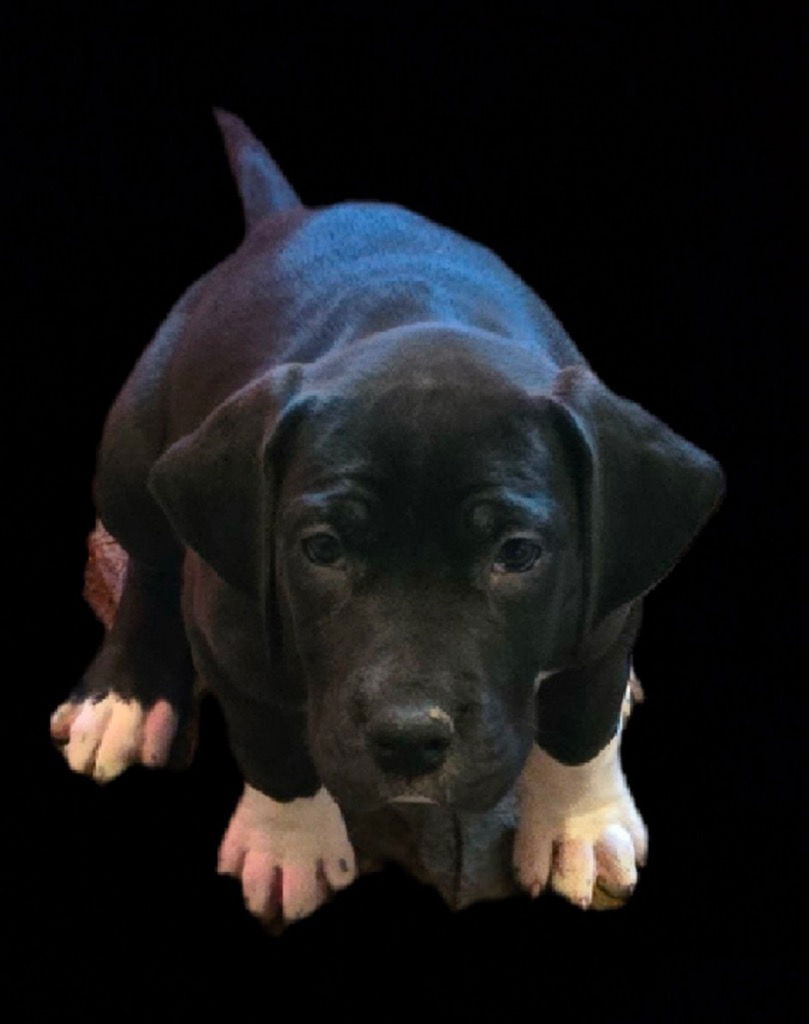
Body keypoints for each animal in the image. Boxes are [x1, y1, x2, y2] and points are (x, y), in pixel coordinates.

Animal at [51, 110, 724, 926]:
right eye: (322, 549)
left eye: (517, 553)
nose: (408, 740)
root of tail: (287, 217)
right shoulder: (229, 621)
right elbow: (272, 742)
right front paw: (290, 848)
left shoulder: (609, 606)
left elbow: (581, 719)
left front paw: (576, 828)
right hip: (133, 450)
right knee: (148, 566)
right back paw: (123, 698)